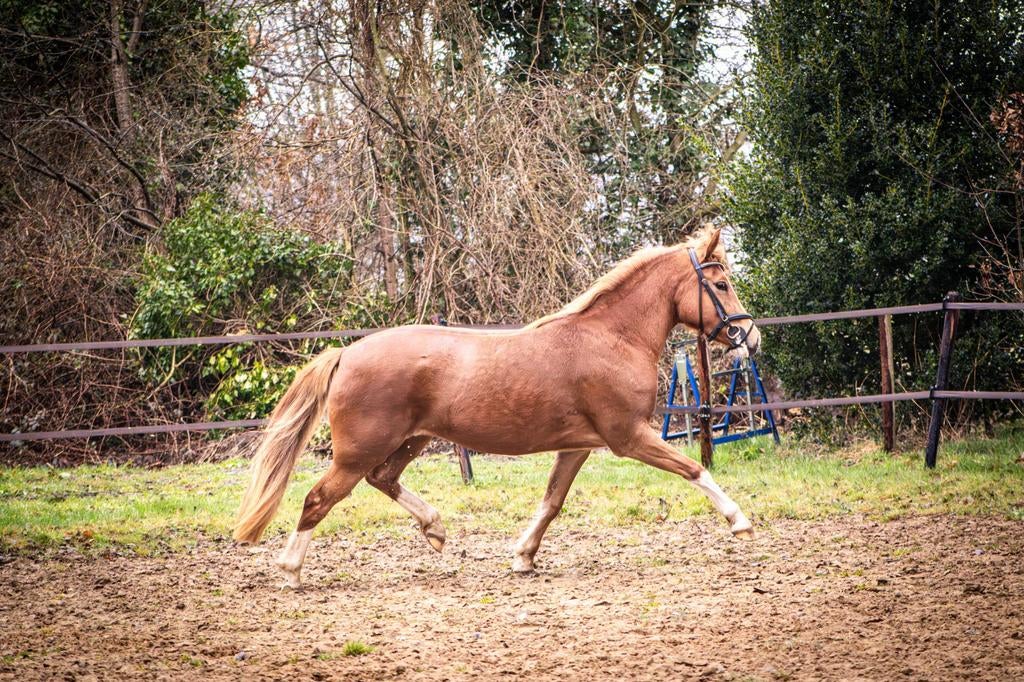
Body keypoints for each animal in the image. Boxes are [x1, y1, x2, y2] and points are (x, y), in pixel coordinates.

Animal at [234, 227, 761, 588]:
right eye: (721, 284)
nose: (750, 336)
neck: (612, 339)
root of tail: (346, 353)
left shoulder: (578, 446)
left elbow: (551, 502)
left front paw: (524, 556)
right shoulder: (628, 437)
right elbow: (694, 469)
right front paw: (740, 521)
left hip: (410, 440)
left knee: (382, 479)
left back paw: (435, 529)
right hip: (360, 450)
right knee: (319, 499)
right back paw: (291, 569)